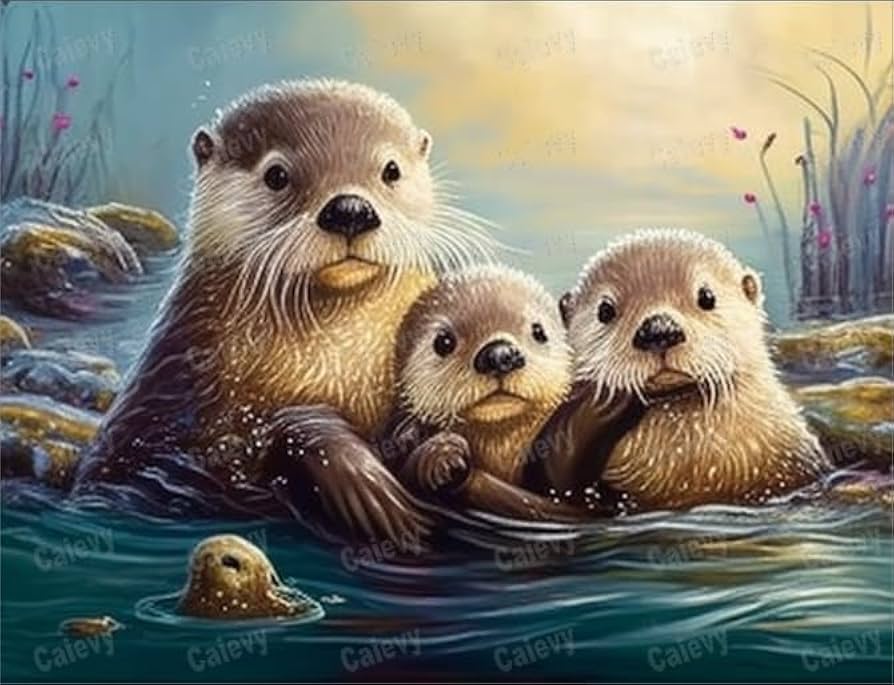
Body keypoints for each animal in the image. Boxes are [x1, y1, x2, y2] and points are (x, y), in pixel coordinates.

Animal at [74, 80, 493, 541]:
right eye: (276, 175)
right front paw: (352, 470)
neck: (333, 366)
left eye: (391, 171)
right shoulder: (167, 394)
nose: (350, 209)